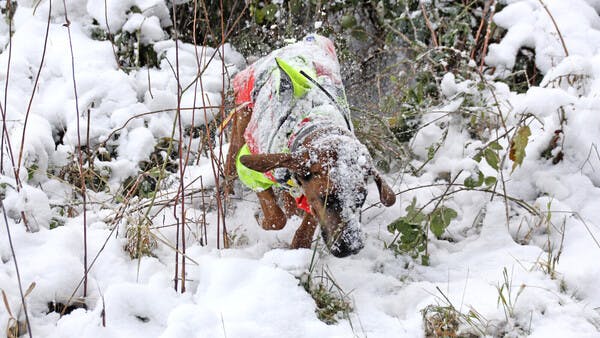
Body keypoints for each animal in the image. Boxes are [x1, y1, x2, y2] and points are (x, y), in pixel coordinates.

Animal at [223, 33, 396, 256]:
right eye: (327, 198)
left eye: (361, 198)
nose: (352, 246)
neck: (314, 123)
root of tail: (304, 41)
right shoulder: (252, 167)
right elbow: (276, 218)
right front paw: (261, 220)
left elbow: (306, 223)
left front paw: (299, 242)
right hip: (241, 125)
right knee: (229, 167)